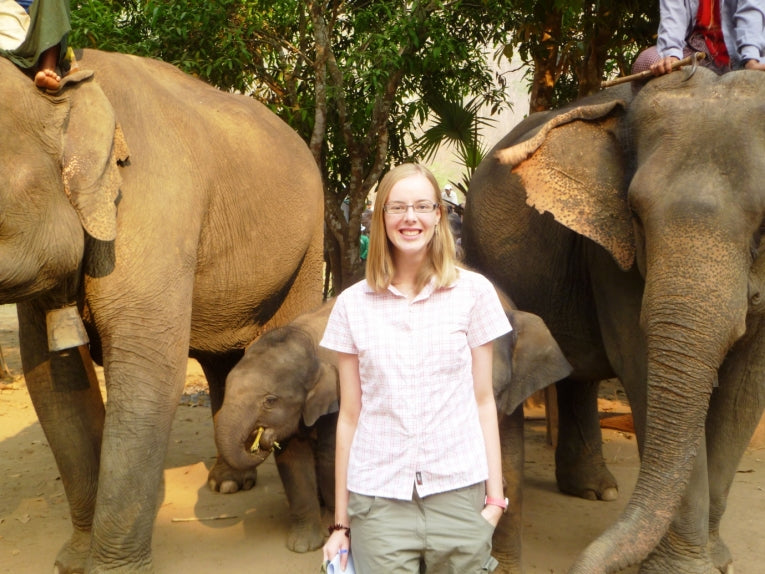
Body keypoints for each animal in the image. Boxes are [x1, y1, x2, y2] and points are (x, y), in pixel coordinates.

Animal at [0, 49, 324, 573]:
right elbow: (52, 382)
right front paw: (73, 562)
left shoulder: (152, 208)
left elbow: (149, 375)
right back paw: (228, 482)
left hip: (308, 244)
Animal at [463, 67, 765, 573]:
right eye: (637, 215)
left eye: (764, 226)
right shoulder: (608, 254)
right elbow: (641, 367)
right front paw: (688, 567)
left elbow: (746, 391)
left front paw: (718, 559)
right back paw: (597, 490)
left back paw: (596, 491)